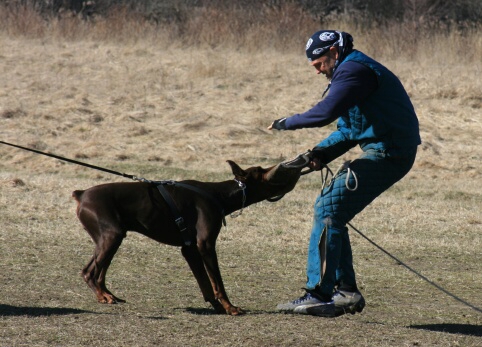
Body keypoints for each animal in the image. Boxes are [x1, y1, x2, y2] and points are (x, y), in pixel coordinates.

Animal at [71, 160, 302, 316]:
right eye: (262, 171)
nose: (290, 166)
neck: (220, 195)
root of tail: (81, 194)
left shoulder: (189, 249)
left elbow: (205, 284)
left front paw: (217, 307)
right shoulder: (205, 245)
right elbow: (217, 282)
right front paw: (230, 307)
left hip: (110, 238)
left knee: (99, 271)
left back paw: (109, 294)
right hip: (112, 235)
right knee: (88, 271)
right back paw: (101, 296)